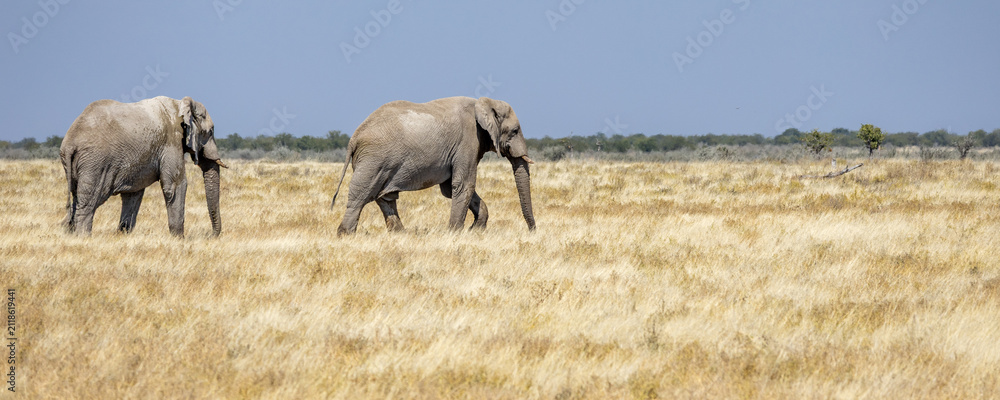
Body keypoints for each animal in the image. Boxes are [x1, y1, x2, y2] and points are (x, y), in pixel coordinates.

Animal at [59, 96, 228, 237]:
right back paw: (83, 238)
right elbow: (175, 185)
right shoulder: (171, 141)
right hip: (95, 162)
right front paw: (179, 240)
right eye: (210, 132)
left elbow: (134, 193)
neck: (179, 104)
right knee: (88, 202)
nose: (209, 236)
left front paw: (123, 236)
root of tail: (70, 142)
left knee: (76, 198)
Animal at [331, 96, 536, 235]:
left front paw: (474, 230)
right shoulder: (468, 140)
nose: (532, 231)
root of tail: (354, 137)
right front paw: (455, 233)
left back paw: (401, 234)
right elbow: (463, 185)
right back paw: (345, 234)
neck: (484, 102)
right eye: (515, 131)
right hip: (374, 159)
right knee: (361, 196)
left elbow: (451, 188)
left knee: (385, 197)